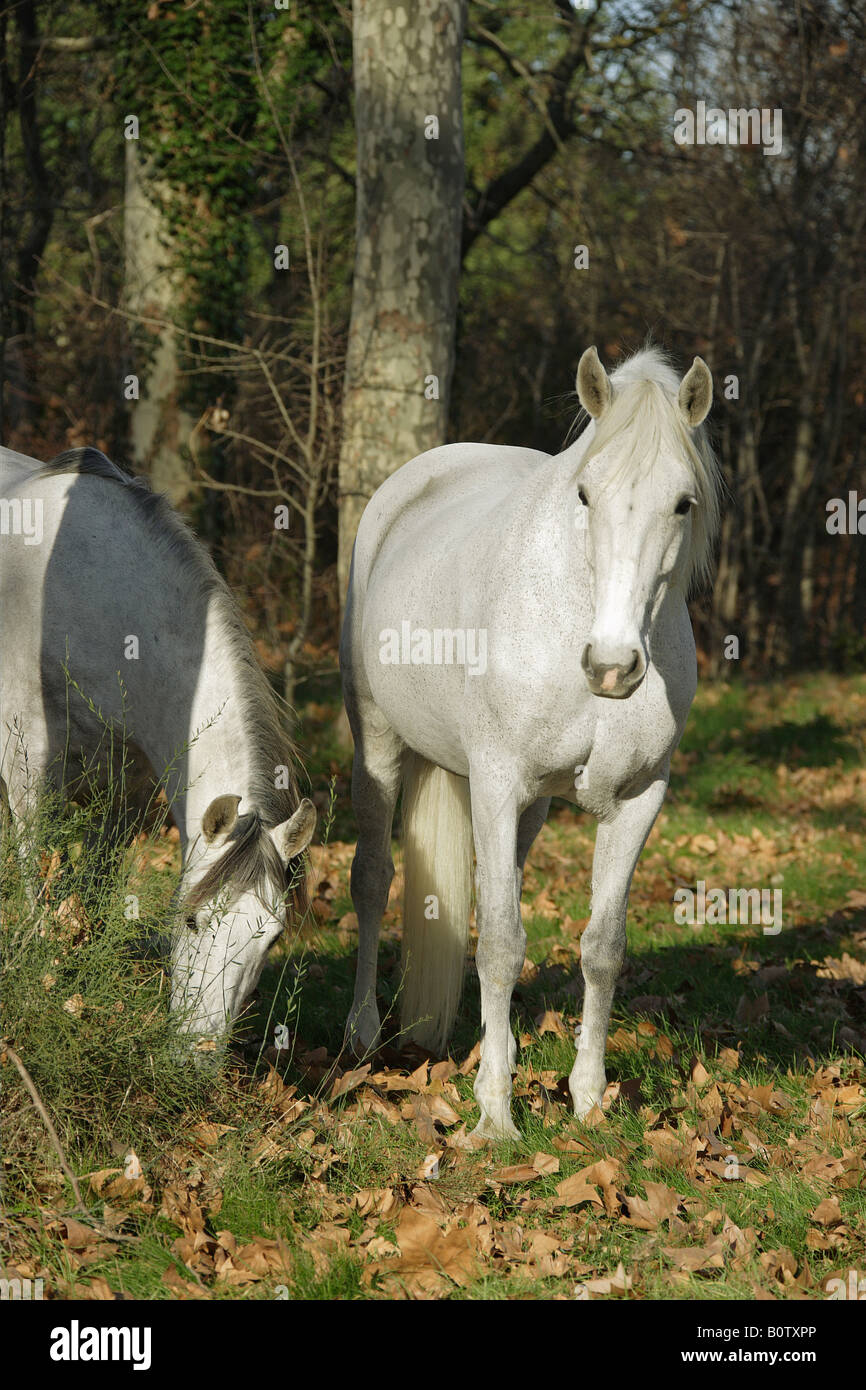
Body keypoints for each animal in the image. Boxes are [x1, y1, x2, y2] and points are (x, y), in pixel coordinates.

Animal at [0, 445, 316, 1049]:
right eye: (192, 920)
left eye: (271, 938)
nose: (196, 1058)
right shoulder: (26, 768)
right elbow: (33, 878)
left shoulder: (129, 789)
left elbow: (96, 891)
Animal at [340, 345, 719, 1138]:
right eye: (585, 495)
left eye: (682, 503)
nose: (612, 666)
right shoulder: (495, 780)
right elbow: (502, 945)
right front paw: (495, 1116)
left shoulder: (638, 800)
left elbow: (601, 948)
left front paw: (588, 1098)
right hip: (378, 743)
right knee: (373, 879)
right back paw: (361, 1033)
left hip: (530, 809)